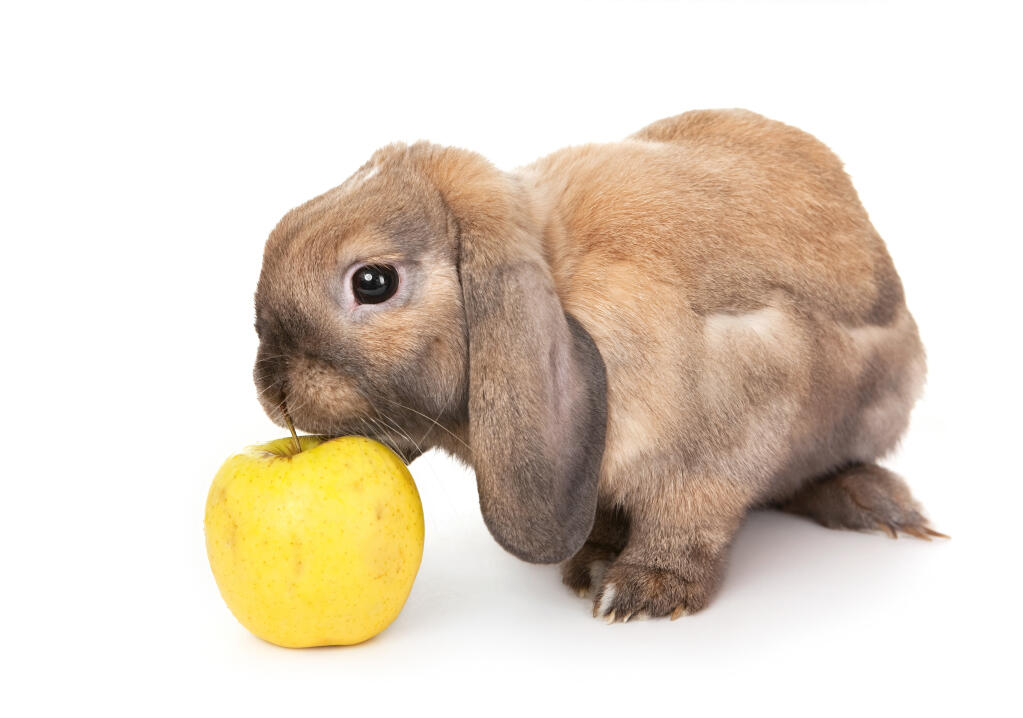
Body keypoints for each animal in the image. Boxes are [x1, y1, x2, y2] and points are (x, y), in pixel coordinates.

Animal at [253, 109, 943, 623]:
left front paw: (644, 591)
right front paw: (591, 566)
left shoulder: (731, 429)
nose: (271, 387)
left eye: (372, 282)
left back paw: (877, 507)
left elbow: (689, 516)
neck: (556, 270)